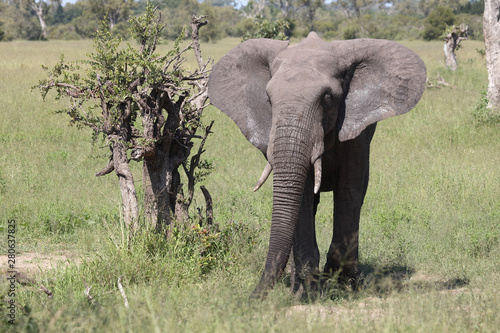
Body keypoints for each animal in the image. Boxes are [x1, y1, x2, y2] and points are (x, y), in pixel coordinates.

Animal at [207, 33, 426, 298]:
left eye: (327, 98)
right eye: (268, 100)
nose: (251, 299)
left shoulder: (355, 130)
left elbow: (350, 188)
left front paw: (345, 284)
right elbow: (302, 191)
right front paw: (307, 290)